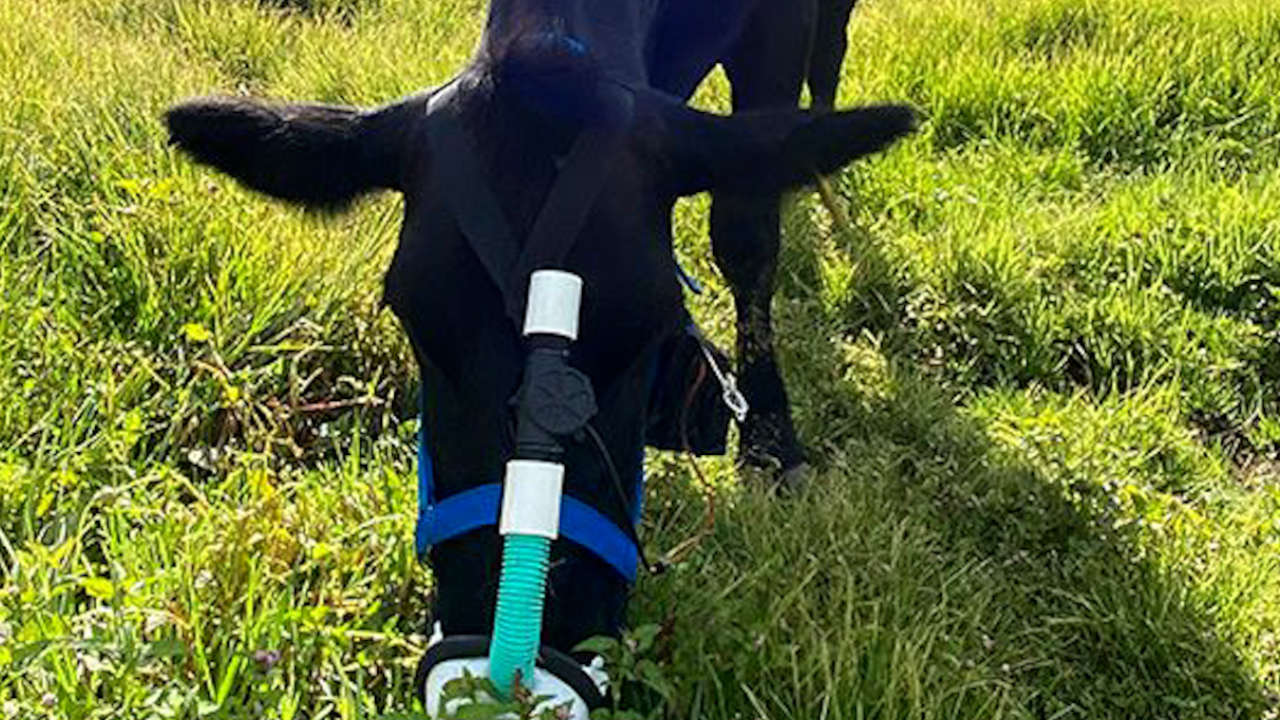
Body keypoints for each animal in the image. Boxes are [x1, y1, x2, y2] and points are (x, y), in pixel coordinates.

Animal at [165, 0, 912, 695]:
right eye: (412, 314)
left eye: (650, 320)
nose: (529, 650)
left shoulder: (778, 30)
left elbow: (748, 220)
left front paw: (773, 438)